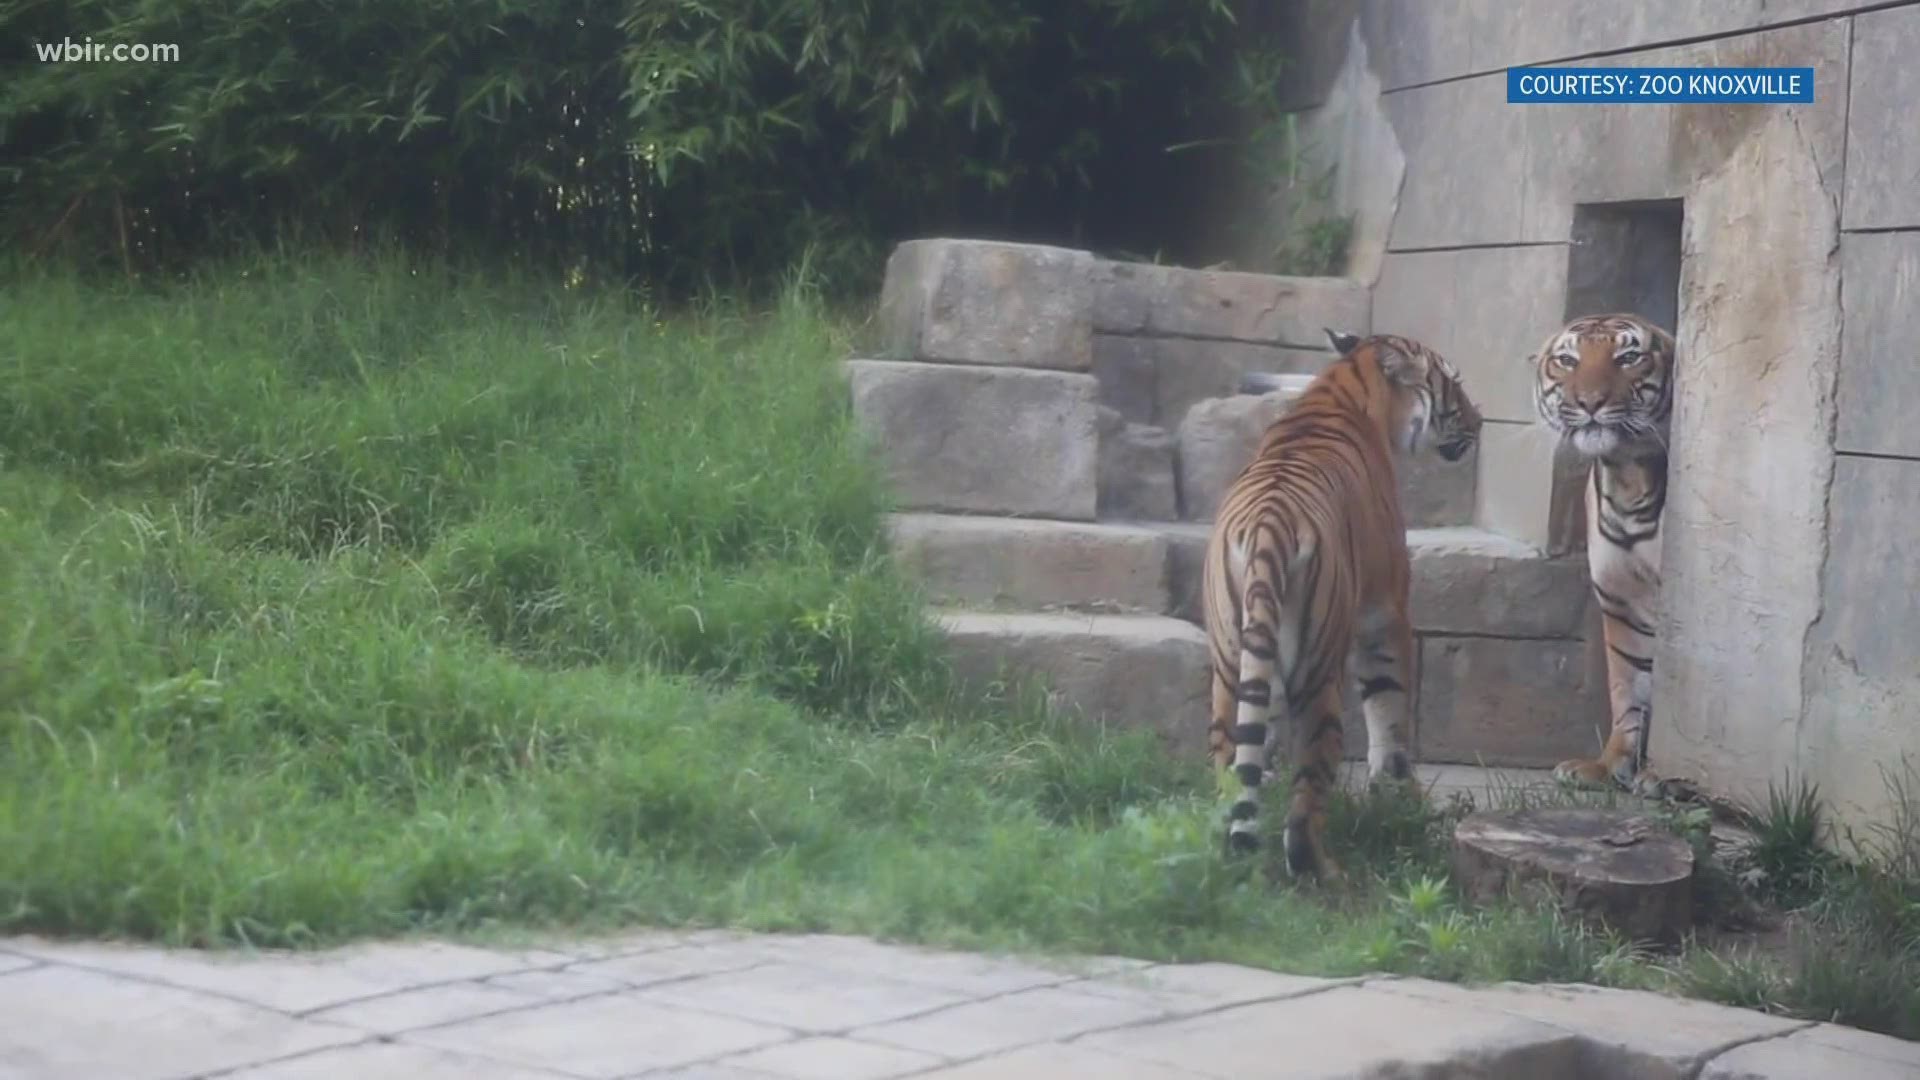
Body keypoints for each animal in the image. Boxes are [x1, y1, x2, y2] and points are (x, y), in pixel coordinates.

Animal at [1198, 328, 1482, 876]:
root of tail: (1268, 526)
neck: (1346, 386)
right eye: (1454, 383)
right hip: (1320, 673)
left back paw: (1231, 852)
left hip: (1229, 662)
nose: (1480, 423)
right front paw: (1397, 793)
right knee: (1309, 788)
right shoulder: (1386, 608)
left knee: (1229, 762)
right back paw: (1320, 869)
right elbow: (1389, 709)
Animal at [1528, 307, 1681, 795]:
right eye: (1568, 361)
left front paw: (1661, 777)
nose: (1590, 402)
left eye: (1628, 357)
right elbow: (1628, 686)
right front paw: (1609, 765)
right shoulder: (1621, 600)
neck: (1628, 474)